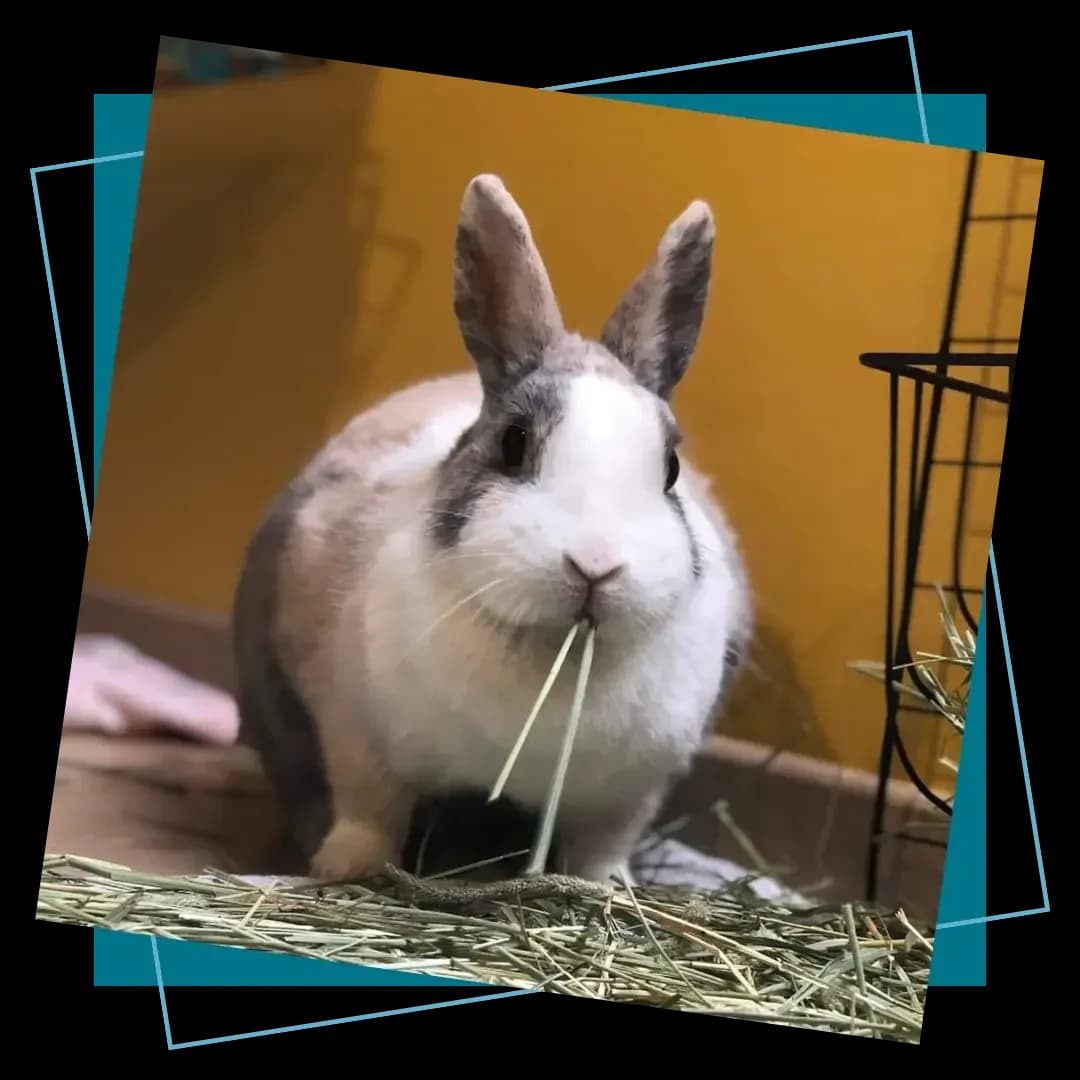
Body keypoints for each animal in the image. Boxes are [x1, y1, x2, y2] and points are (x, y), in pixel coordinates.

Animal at [233, 173, 753, 886]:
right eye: (513, 443)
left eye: (671, 468)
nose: (595, 565)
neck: (556, 654)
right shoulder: (357, 734)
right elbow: (370, 811)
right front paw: (348, 869)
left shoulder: (631, 791)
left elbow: (604, 844)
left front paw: (613, 888)